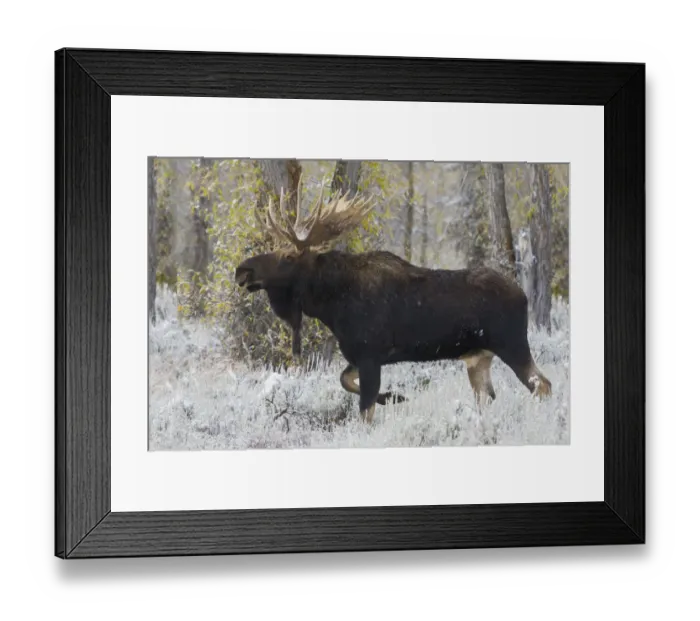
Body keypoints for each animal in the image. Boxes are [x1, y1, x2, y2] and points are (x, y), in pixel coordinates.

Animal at [235, 176, 552, 424]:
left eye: (288, 255)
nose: (242, 270)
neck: (331, 305)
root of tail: (523, 295)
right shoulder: (361, 356)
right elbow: (346, 381)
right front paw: (395, 396)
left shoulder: (369, 354)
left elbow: (364, 412)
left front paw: (390, 399)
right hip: (478, 357)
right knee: (489, 397)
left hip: (512, 344)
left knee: (542, 384)